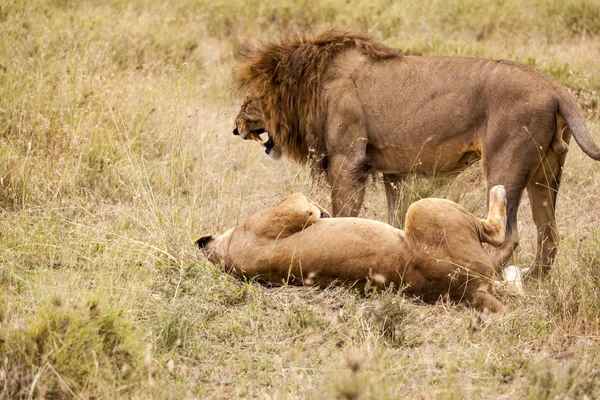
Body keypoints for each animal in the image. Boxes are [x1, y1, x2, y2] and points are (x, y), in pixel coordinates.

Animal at [195, 185, 508, 312]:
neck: (225, 255)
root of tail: (470, 290)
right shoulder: (291, 210)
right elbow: (305, 204)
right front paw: (321, 211)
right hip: (424, 208)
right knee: (495, 231)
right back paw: (499, 191)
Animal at [233, 29, 600, 276]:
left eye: (251, 98)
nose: (235, 128)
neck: (313, 84)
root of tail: (556, 89)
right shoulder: (392, 171)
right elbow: (395, 216)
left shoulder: (347, 161)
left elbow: (343, 213)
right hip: (545, 174)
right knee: (549, 234)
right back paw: (534, 278)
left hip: (503, 166)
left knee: (510, 234)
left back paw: (484, 271)